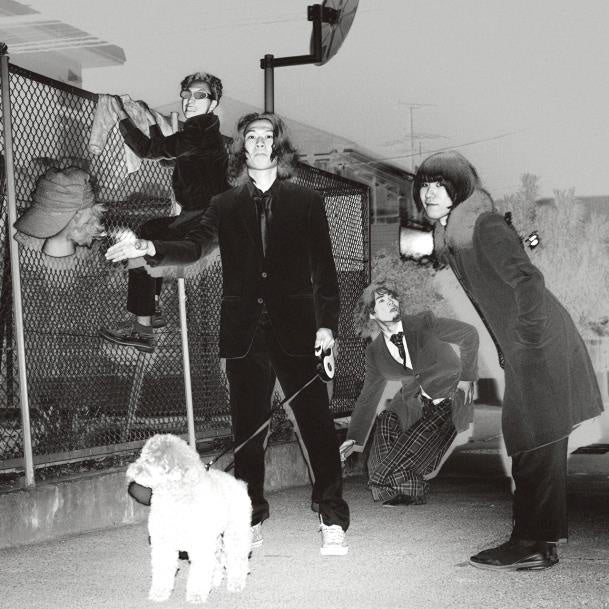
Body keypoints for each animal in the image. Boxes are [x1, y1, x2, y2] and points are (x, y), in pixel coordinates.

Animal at [127, 434, 252, 604]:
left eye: (149, 460)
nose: (130, 470)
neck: (176, 497)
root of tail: (239, 483)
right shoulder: (163, 543)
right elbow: (162, 569)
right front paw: (159, 593)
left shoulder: (200, 544)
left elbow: (199, 572)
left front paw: (196, 595)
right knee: (218, 559)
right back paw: (214, 581)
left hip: (235, 531)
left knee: (237, 557)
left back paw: (236, 583)